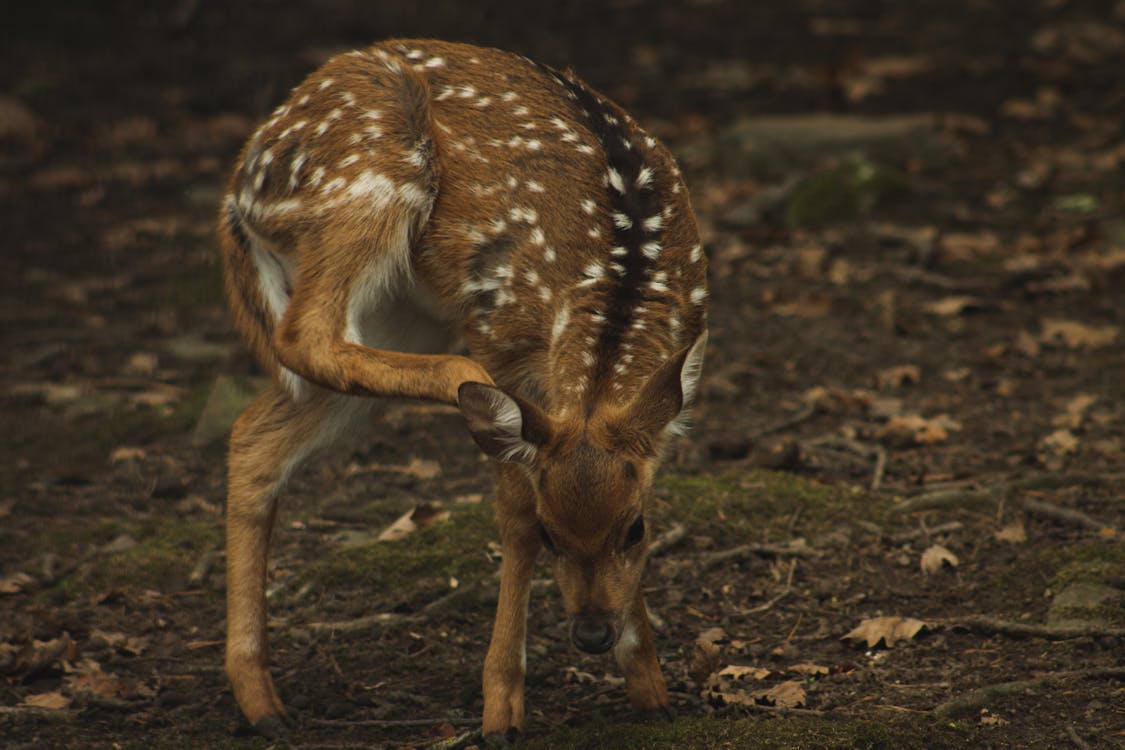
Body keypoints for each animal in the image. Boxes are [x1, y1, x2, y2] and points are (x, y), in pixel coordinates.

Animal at [216, 39, 707, 743]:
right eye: (553, 535)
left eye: (636, 530)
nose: (591, 634)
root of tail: (238, 187)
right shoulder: (500, 335)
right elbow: (514, 512)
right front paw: (501, 712)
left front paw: (653, 691)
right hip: (373, 174)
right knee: (303, 335)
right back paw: (455, 376)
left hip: (398, 311)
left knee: (256, 432)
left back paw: (264, 705)